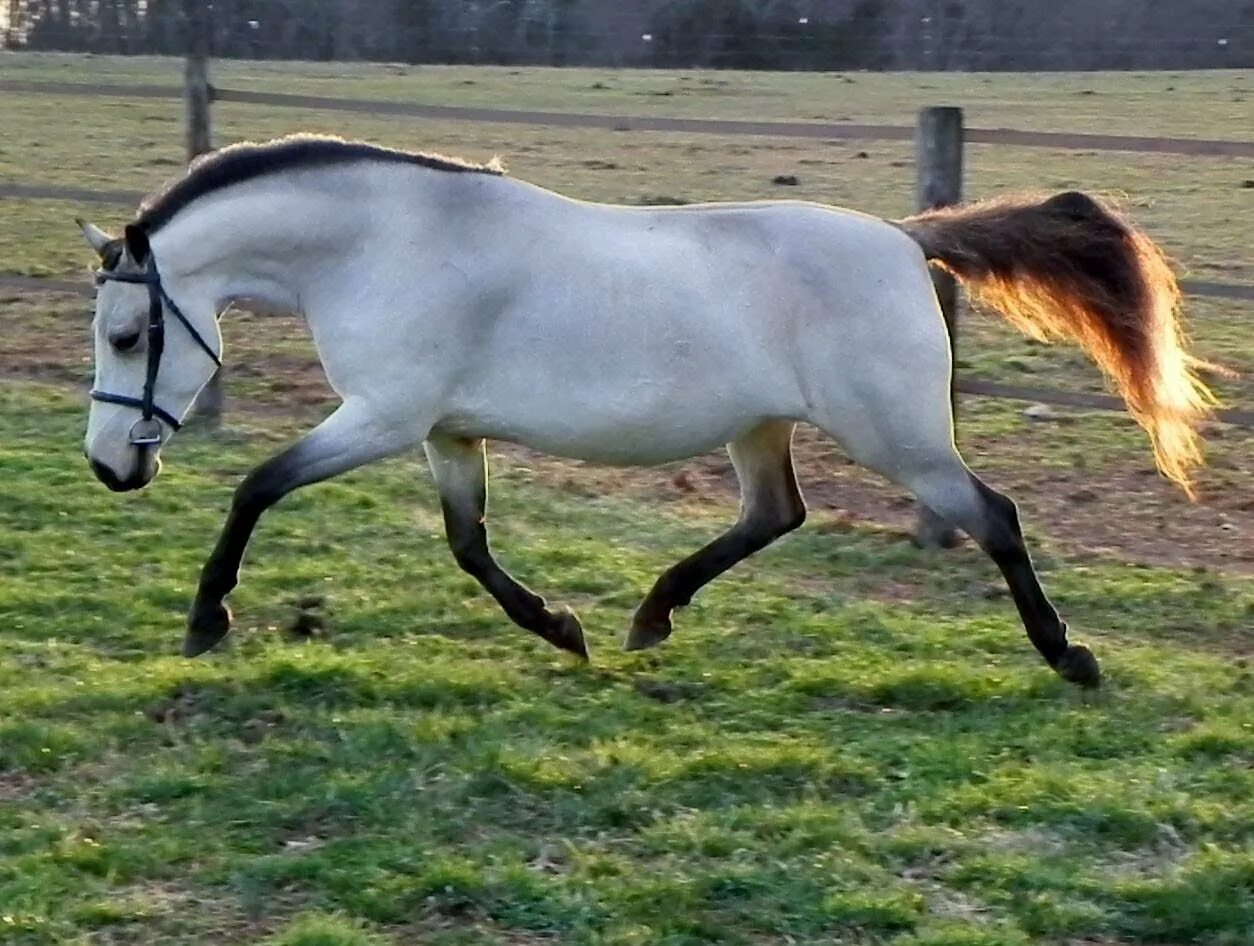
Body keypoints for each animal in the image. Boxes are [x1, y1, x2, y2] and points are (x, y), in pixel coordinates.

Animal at [78, 132, 1213, 687]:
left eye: (129, 336)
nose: (107, 468)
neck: (387, 243)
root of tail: (904, 236)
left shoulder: (384, 416)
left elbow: (256, 486)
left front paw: (207, 619)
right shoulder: (445, 431)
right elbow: (469, 546)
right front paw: (562, 627)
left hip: (896, 435)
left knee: (994, 517)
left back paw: (1069, 657)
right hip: (762, 429)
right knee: (774, 515)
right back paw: (649, 614)